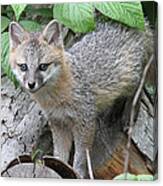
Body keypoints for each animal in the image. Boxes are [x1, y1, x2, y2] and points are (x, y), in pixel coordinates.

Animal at [8, 19, 153, 178]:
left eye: (43, 66)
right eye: (23, 67)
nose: (31, 84)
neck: (55, 98)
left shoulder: (86, 121)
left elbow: (81, 155)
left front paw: (77, 172)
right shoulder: (58, 123)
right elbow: (60, 153)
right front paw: (59, 166)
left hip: (131, 78)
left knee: (139, 87)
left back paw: (127, 115)